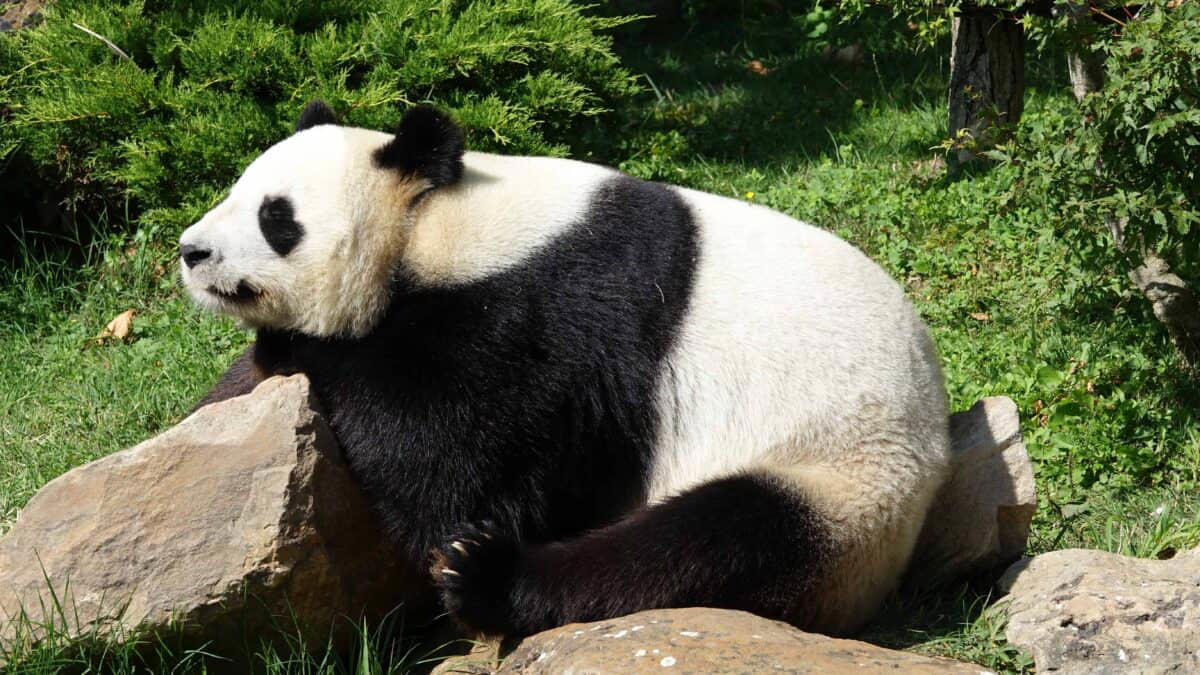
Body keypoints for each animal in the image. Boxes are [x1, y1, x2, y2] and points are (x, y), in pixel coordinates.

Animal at [179, 101, 951, 638]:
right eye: (235, 191)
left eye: (277, 217)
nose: (191, 251)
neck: (441, 223)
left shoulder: (551, 316)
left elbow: (453, 457)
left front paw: (302, 347)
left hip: (844, 478)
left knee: (704, 547)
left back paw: (486, 577)